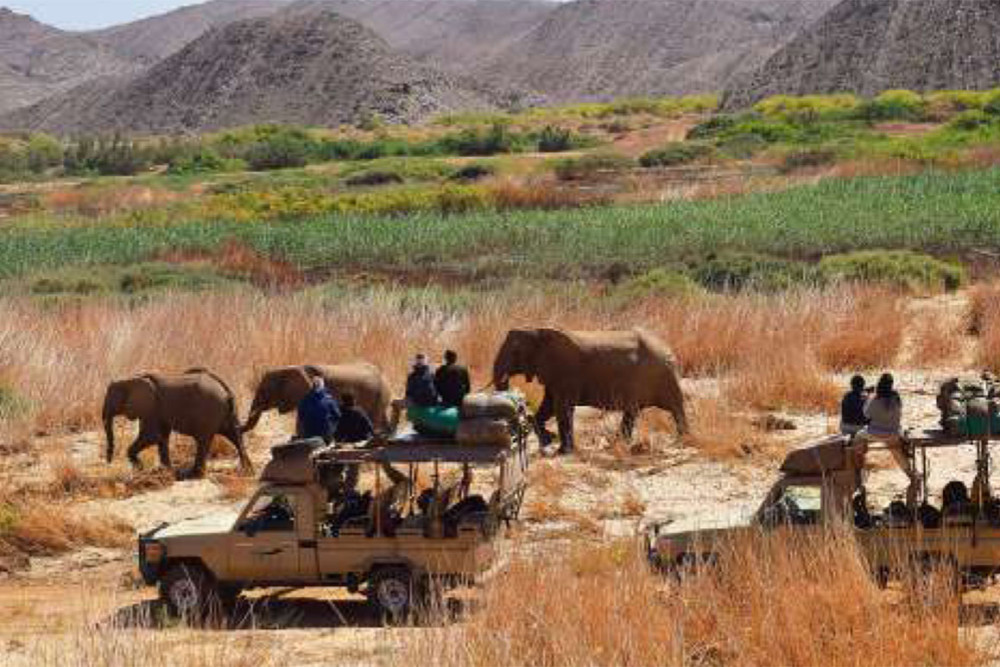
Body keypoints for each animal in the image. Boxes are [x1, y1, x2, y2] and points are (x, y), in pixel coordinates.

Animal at [102, 368, 252, 478]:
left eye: (111, 400)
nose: (108, 461)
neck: (131, 378)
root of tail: (225, 388)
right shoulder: (155, 410)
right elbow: (161, 437)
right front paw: (165, 471)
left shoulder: (151, 408)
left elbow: (152, 436)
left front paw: (141, 468)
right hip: (226, 412)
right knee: (234, 435)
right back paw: (247, 471)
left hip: (210, 410)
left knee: (203, 440)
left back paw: (192, 475)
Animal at [492, 328, 688, 454]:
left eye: (515, 352)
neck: (535, 332)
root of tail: (669, 349)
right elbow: (547, 406)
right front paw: (550, 440)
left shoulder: (565, 371)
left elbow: (561, 408)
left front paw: (563, 451)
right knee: (632, 412)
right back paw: (620, 443)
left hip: (661, 376)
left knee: (675, 407)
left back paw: (682, 440)